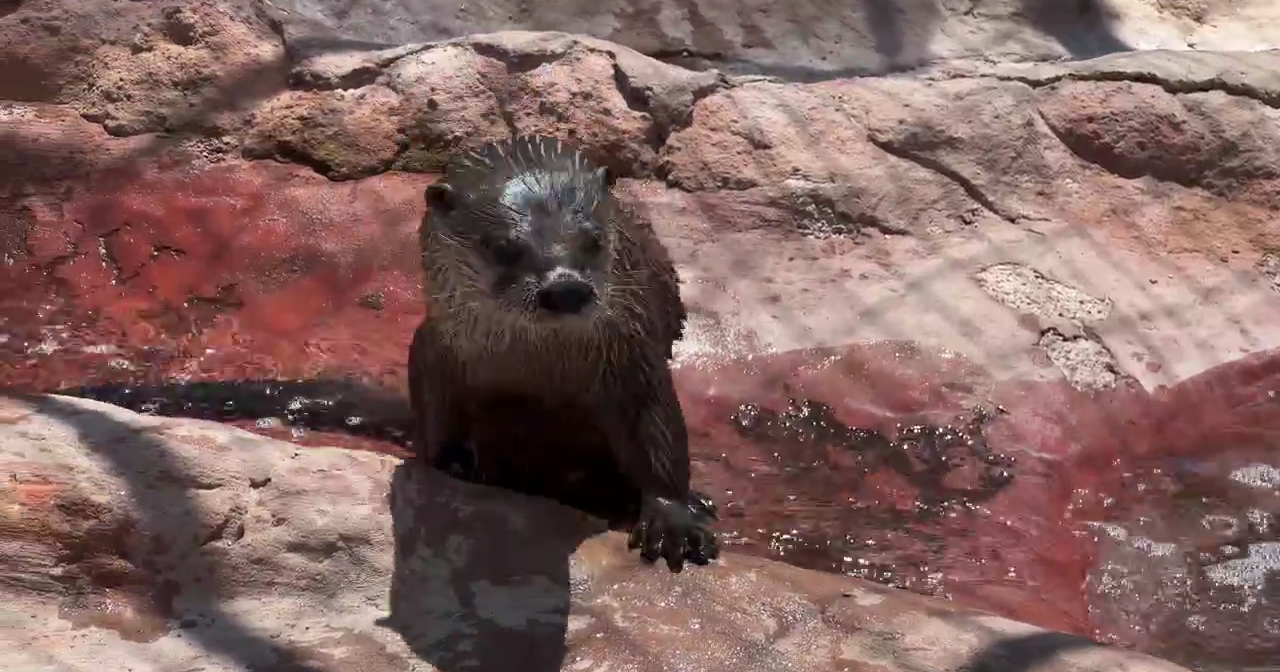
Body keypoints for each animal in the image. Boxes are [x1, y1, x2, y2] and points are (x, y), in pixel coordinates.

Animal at [411, 134, 719, 572]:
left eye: (594, 239)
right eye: (503, 247)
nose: (565, 285)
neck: (537, 370)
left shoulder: (632, 355)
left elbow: (656, 427)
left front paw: (673, 520)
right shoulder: (435, 348)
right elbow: (438, 411)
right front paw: (453, 462)